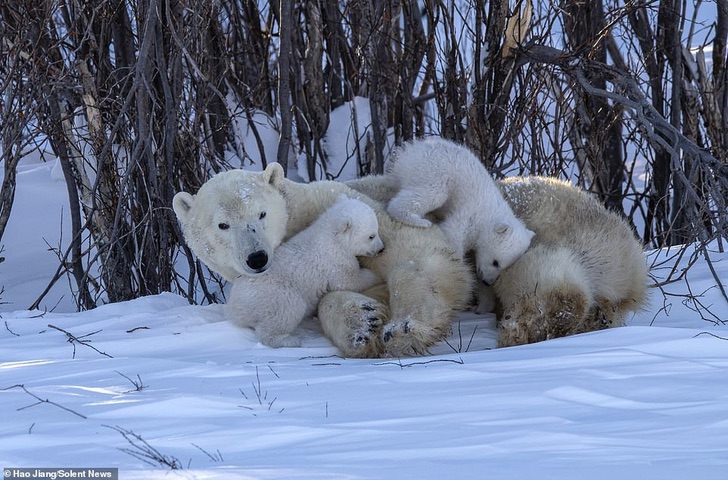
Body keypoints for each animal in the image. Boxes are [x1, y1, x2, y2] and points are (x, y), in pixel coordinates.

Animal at [173, 163, 474, 358]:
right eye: (222, 225)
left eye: (261, 213)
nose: (257, 258)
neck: (297, 218)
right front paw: (363, 324)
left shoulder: (340, 203)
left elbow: (415, 254)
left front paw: (402, 330)